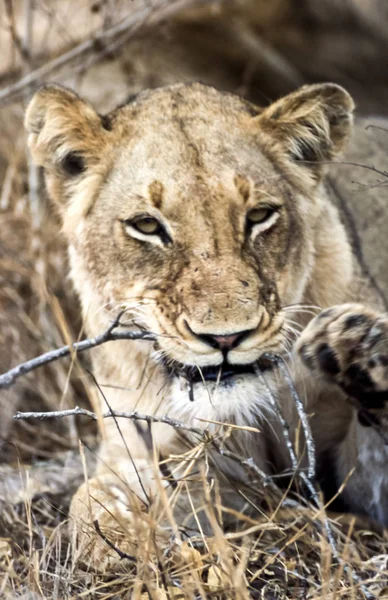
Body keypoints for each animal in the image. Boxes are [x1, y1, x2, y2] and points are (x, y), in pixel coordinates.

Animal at [23, 82, 388, 560]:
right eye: (147, 225)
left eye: (259, 216)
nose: (227, 338)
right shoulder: (147, 449)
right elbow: (92, 498)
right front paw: (123, 544)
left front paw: (358, 347)